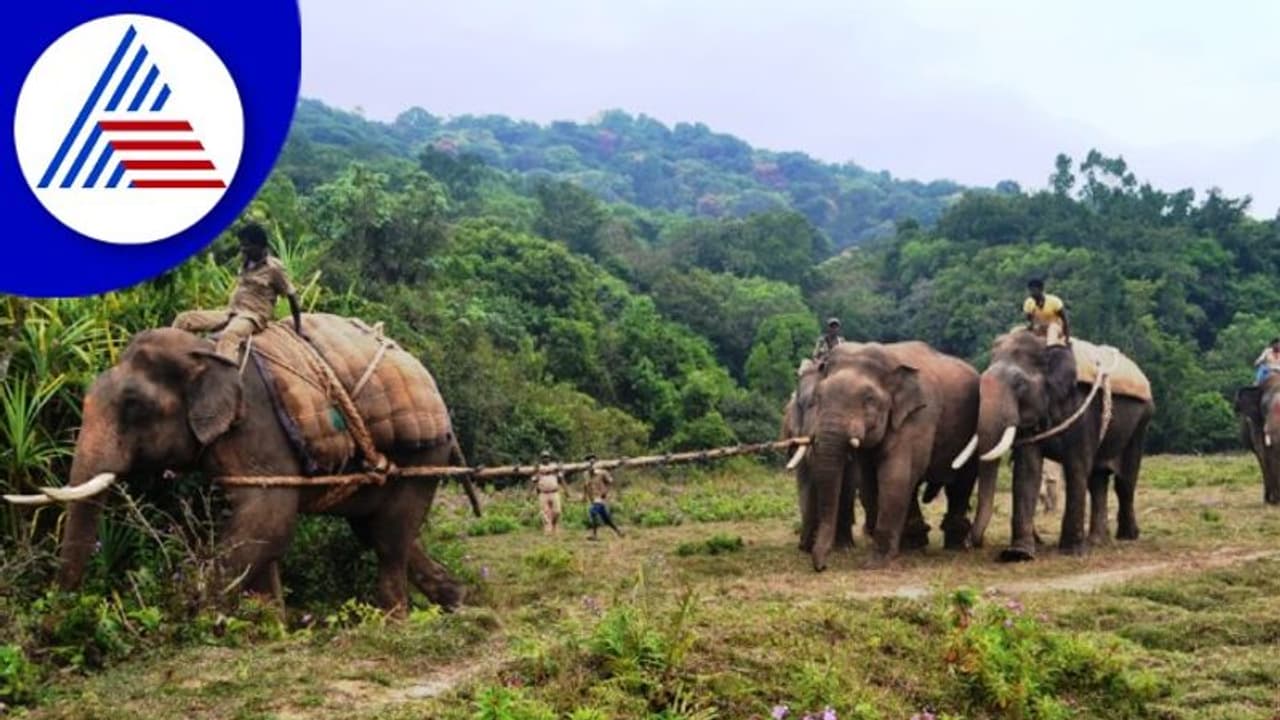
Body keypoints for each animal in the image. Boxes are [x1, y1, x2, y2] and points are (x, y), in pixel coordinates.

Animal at [12, 324, 467, 614]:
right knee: (378, 530)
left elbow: (267, 518)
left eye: (133, 406)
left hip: (424, 456)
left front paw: (194, 614)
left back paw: (395, 619)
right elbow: (265, 534)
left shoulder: (257, 426)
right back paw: (457, 600)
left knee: (389, 537)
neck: (205, 351)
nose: (52, 629)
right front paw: (273, 625)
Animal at [801, 341, 980, 571]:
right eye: (818, 397)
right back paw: (914, 546)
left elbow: (895, 475)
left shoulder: (920, 415)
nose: (821, 567)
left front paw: (874, 563)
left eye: (868, 399)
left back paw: (954, 547)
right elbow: (870, 480)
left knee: (961, 483)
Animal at [963, 330, 1154, 560]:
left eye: (1019, 384)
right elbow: (1028, 469)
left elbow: (1076, 466)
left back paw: (1127, 536)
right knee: (1097, 480)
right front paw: (1018, 554)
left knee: (1124, 480)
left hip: (1141, 422)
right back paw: (1097, 541)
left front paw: (1071, 552)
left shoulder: (1084, 410)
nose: (970, 543)